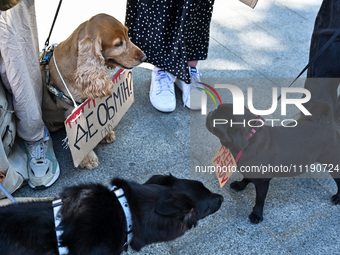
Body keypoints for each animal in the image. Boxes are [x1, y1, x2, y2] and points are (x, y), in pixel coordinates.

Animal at [40, 13, 145, 169]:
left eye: (128, 34)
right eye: (118, 44)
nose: (144, 57)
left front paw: (105, 134)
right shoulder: (72, 109)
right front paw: (88, 158)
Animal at [206, 103, 340, 223]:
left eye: (216, 122)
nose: (210, 113)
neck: (250, 138)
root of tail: (326, 122)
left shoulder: (262, 182)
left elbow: (259, 200)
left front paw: (256, 214)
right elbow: (246, 177)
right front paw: (240, 184)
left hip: (331, 162)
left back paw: (337, 197)